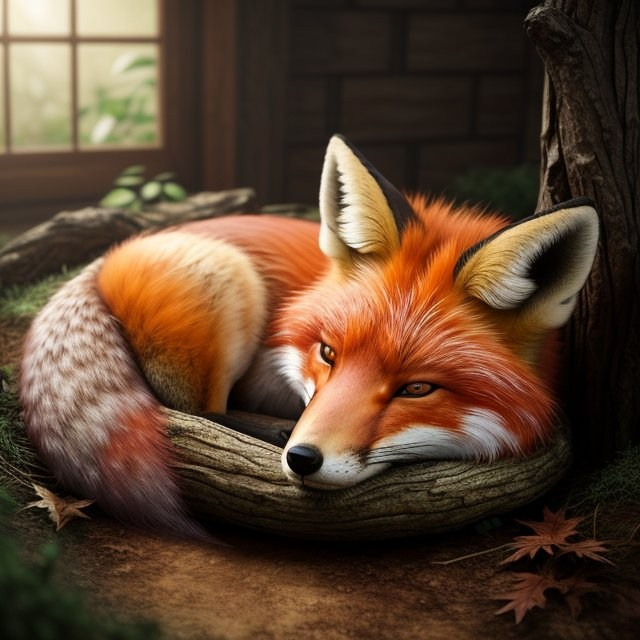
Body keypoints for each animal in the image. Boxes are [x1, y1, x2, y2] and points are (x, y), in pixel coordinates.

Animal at [19, 135, 599, 538]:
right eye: (327, 352)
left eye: (417, 388)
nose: (302, 458)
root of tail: (104, 259)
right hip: (231, 286)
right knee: (193, 409)